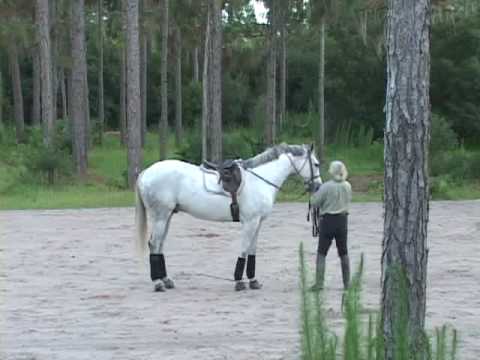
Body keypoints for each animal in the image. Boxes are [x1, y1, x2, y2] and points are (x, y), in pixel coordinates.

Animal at [135, 142, 322, 292]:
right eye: (316, 164)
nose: (318, 186)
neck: (259, 180)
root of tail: (145, 173)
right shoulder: (250, 222)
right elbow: (244, 249)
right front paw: (239, 282)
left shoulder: (258, 223)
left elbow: (252, 250)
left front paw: (253, 281)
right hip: (160, 216)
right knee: (154, 244)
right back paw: (158, 283)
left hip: (167, 216)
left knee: (159, 245)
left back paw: (166, 280)